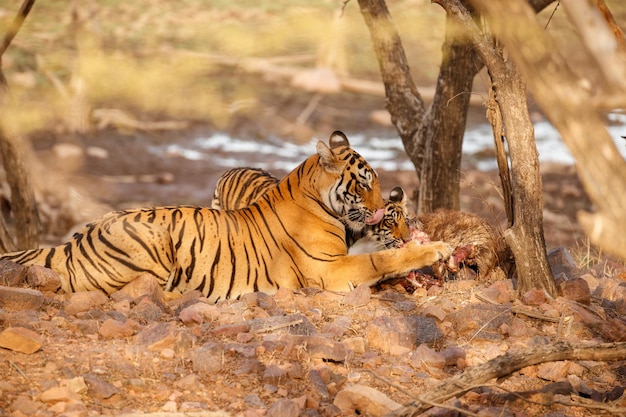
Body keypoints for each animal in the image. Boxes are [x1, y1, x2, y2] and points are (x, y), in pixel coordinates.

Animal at [0, 130, 448, 300]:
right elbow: (382, 258)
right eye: (365, 182)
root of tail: (73, 241)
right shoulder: (329, 270)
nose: (379, 208)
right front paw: (435, 250)